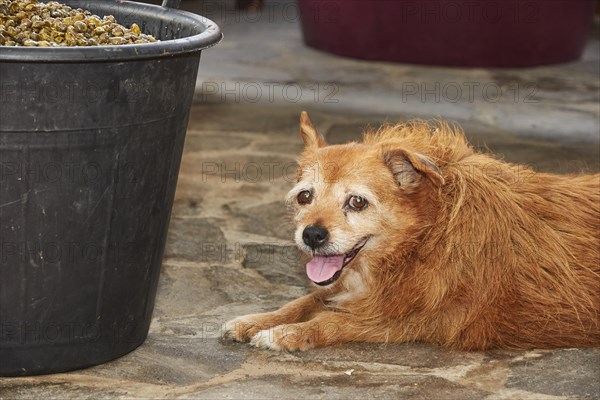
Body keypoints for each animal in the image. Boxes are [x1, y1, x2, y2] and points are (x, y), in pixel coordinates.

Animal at [224, 111, 600, 350]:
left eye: (357, 202)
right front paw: (257, 320)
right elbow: (304, 300)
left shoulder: (416, 320)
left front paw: (286, 334)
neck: (426, 236)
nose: (312, 235)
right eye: (305, 196)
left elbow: (332, 321)